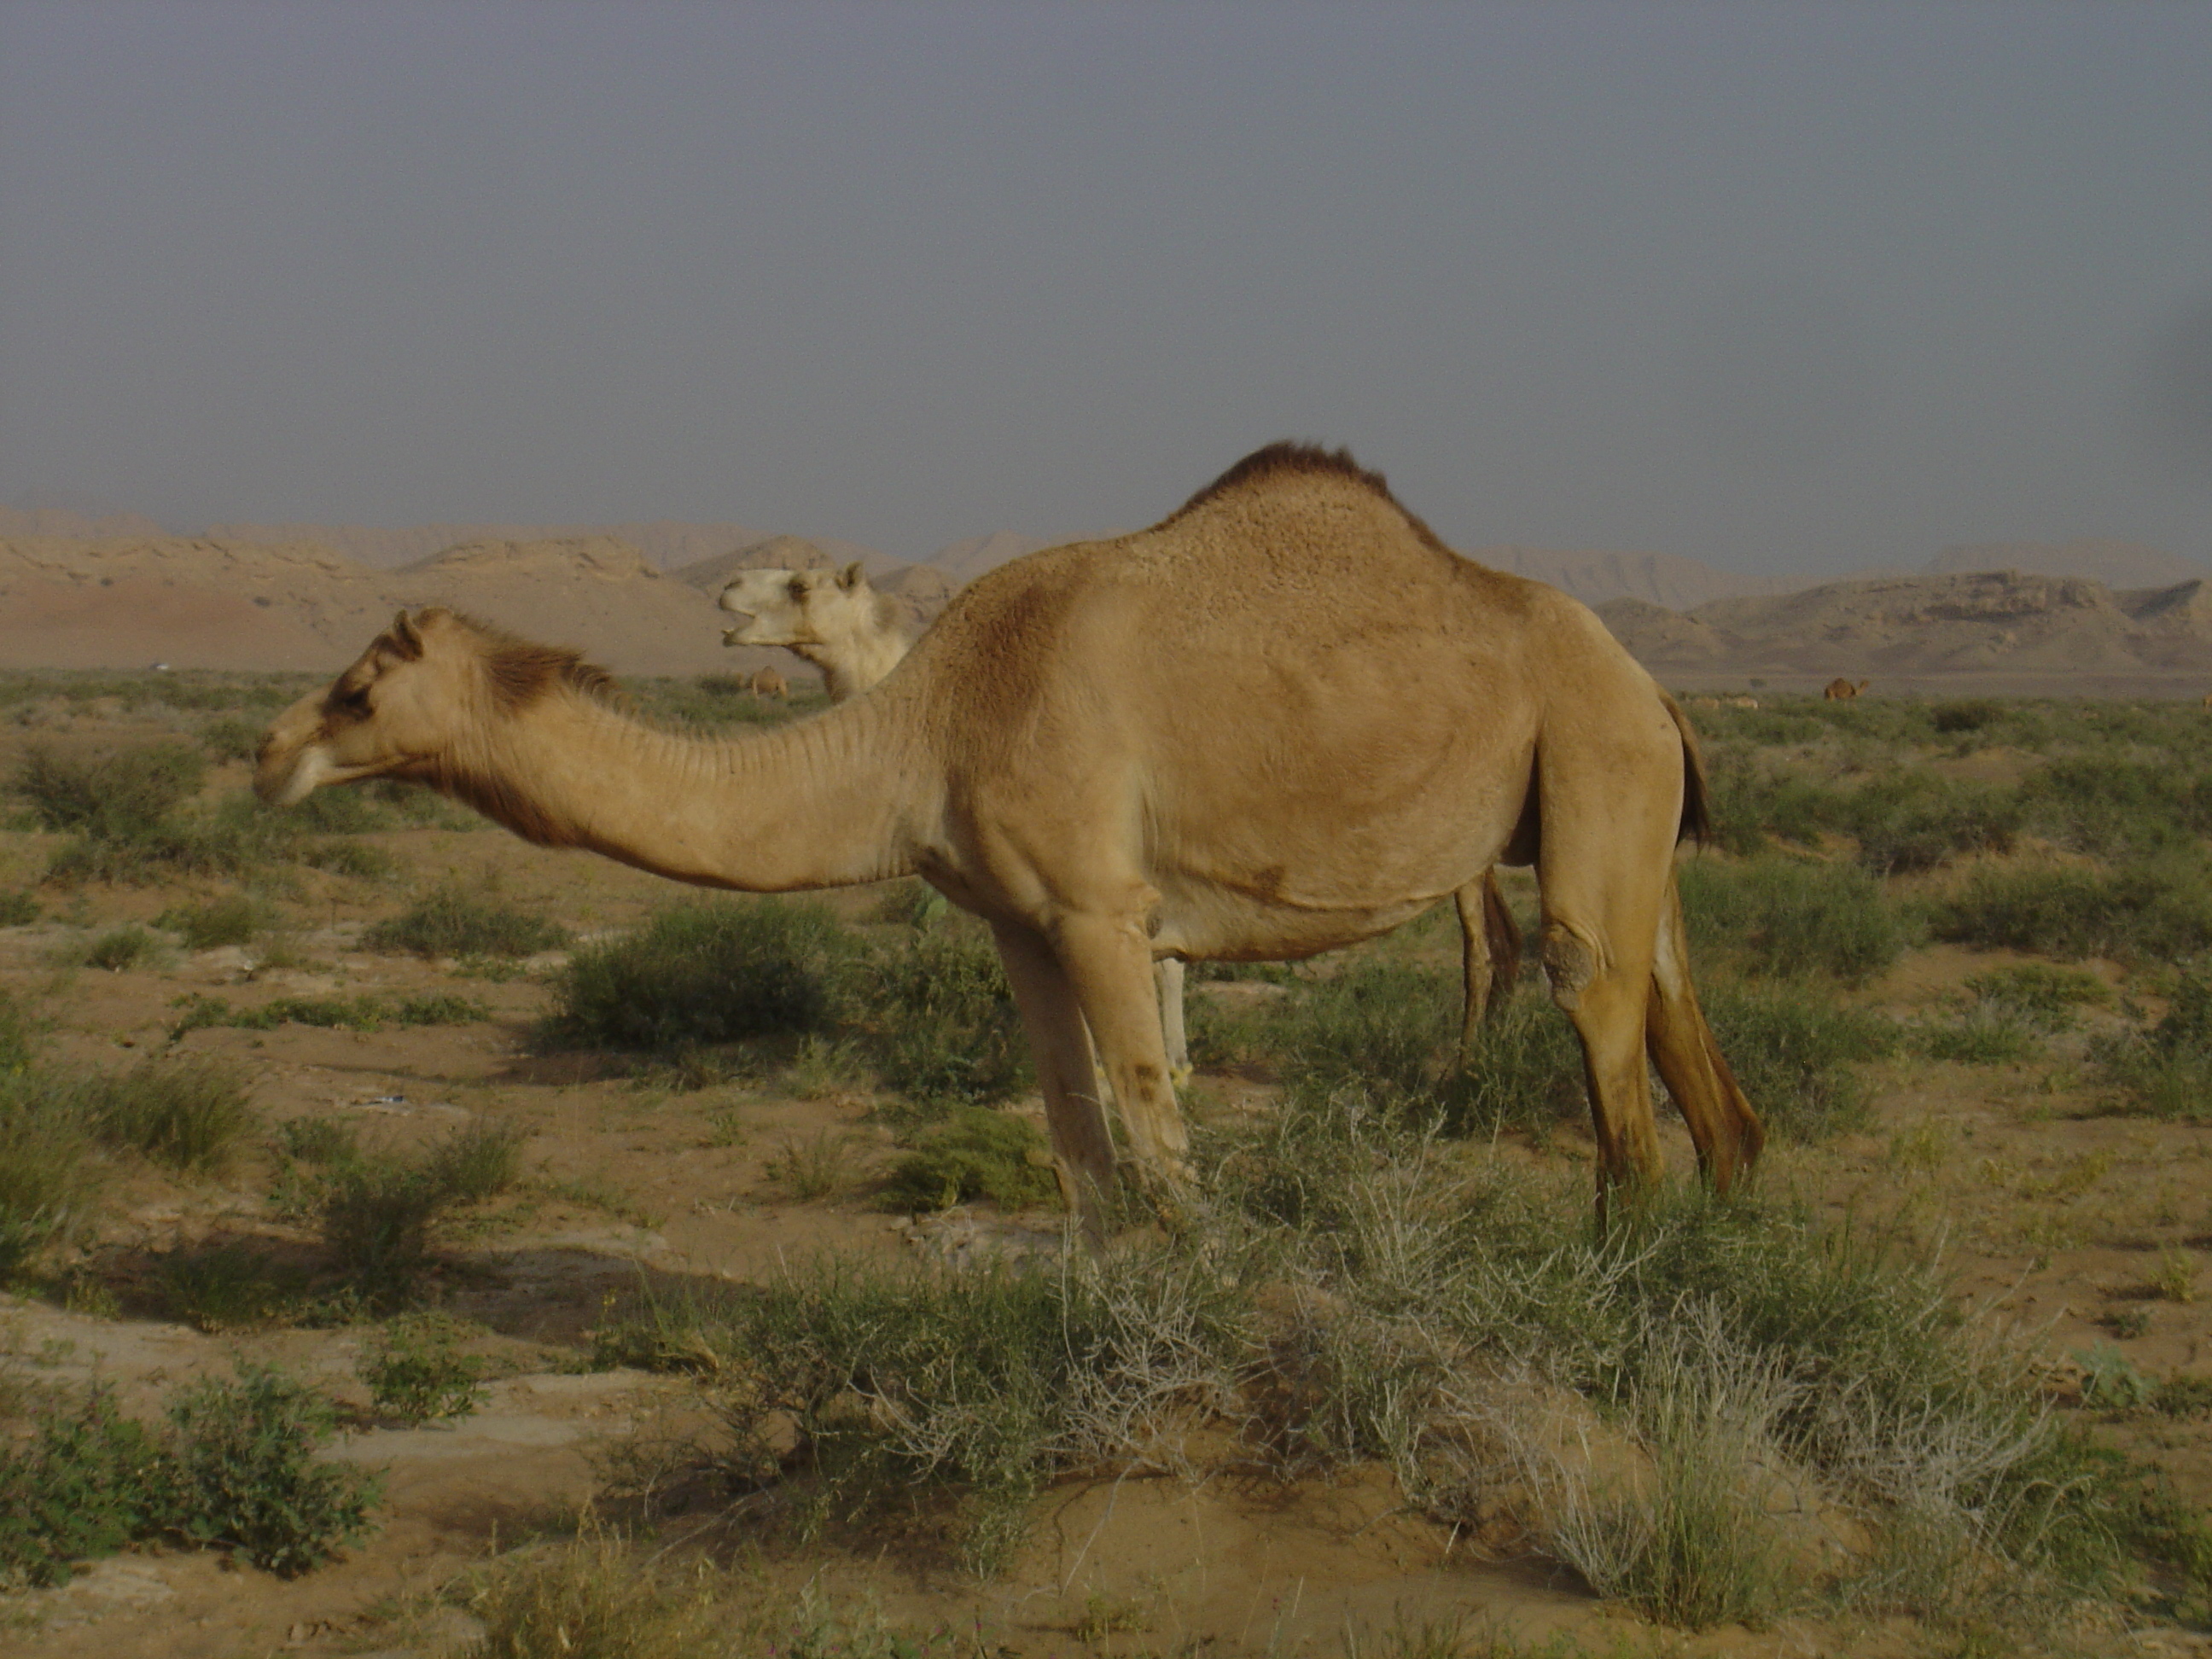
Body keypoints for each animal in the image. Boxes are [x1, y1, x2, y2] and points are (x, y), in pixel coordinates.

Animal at [716, 559, 1530, 1079]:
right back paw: (1485, 1053)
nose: (726, 592)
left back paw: (1464, 1067)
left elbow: (1156, 969)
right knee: (1502, 937)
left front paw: (1162, 1067)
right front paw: (1168, 1062)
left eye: (800, 582)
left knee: (1480, 945)